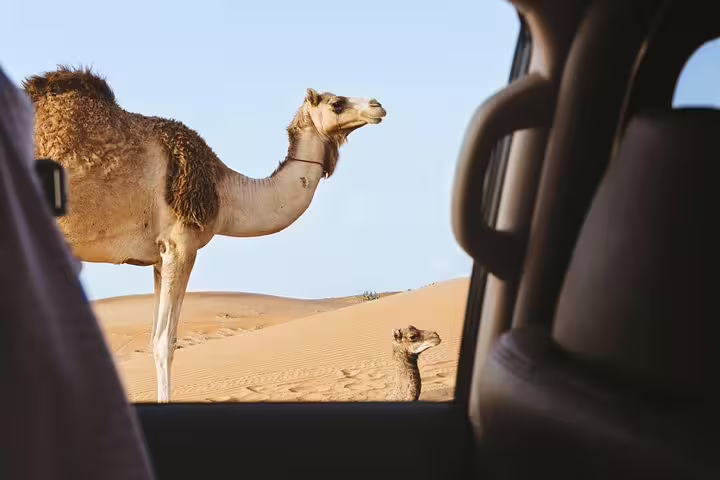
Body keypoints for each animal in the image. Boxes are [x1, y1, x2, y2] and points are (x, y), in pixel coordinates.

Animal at [22, 65, 387, 403]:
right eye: (337, 102)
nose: (378, 105)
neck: (225, 193)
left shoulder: (158, 256)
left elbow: (154, 336)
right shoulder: (181, 244)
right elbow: (164, 342)